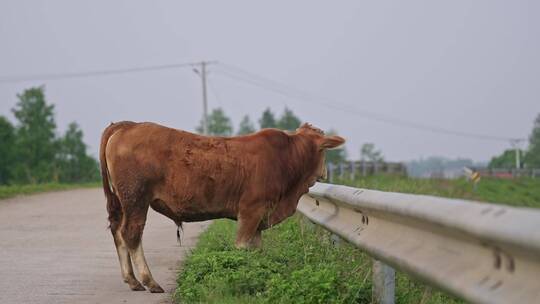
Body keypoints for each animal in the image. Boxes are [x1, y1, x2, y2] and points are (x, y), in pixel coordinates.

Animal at [100, 120, 346, 292]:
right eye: (324, 151)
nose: (325, 172)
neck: (286, 157)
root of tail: (129, 125)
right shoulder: (251, 210)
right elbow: (242, 246)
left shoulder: (259, 218)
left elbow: (256, 249)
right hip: (136, 199)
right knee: (131, 234)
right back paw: (149, 281)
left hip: (121, 203)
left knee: (118, 233)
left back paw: (132, 280)